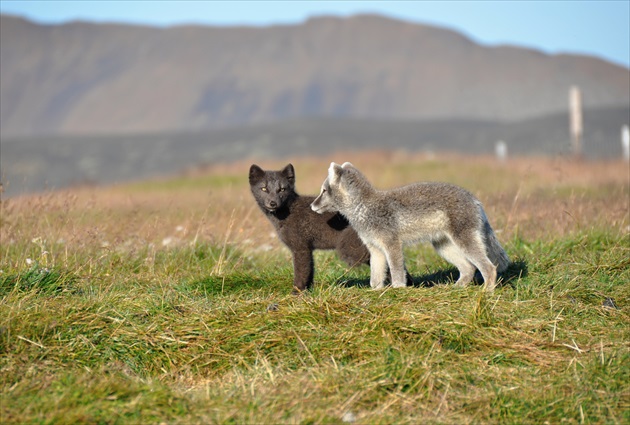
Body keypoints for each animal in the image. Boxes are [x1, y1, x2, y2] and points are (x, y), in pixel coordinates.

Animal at [251, 162, 372, 292]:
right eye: (264, 189)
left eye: (282, 189)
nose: (273, 203)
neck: (287, 212)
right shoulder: (308, 249)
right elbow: (309, 271)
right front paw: (307, 291)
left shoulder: (300, 247)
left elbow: (301, 272)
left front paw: (297, 292)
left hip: (352, 249)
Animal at [314, 161, 512, 290]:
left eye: (323, 191)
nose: (312, 206)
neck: (365, 207)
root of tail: (474, 199)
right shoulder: (375, 249)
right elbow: (375, 278)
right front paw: (376, 293)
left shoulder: (392, 245)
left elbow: (396, 270)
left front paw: (398, 289)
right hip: (443, 246)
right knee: (469, 269)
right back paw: (454, 288)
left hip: (464, 243)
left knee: (489, 268)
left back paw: (486, 292)